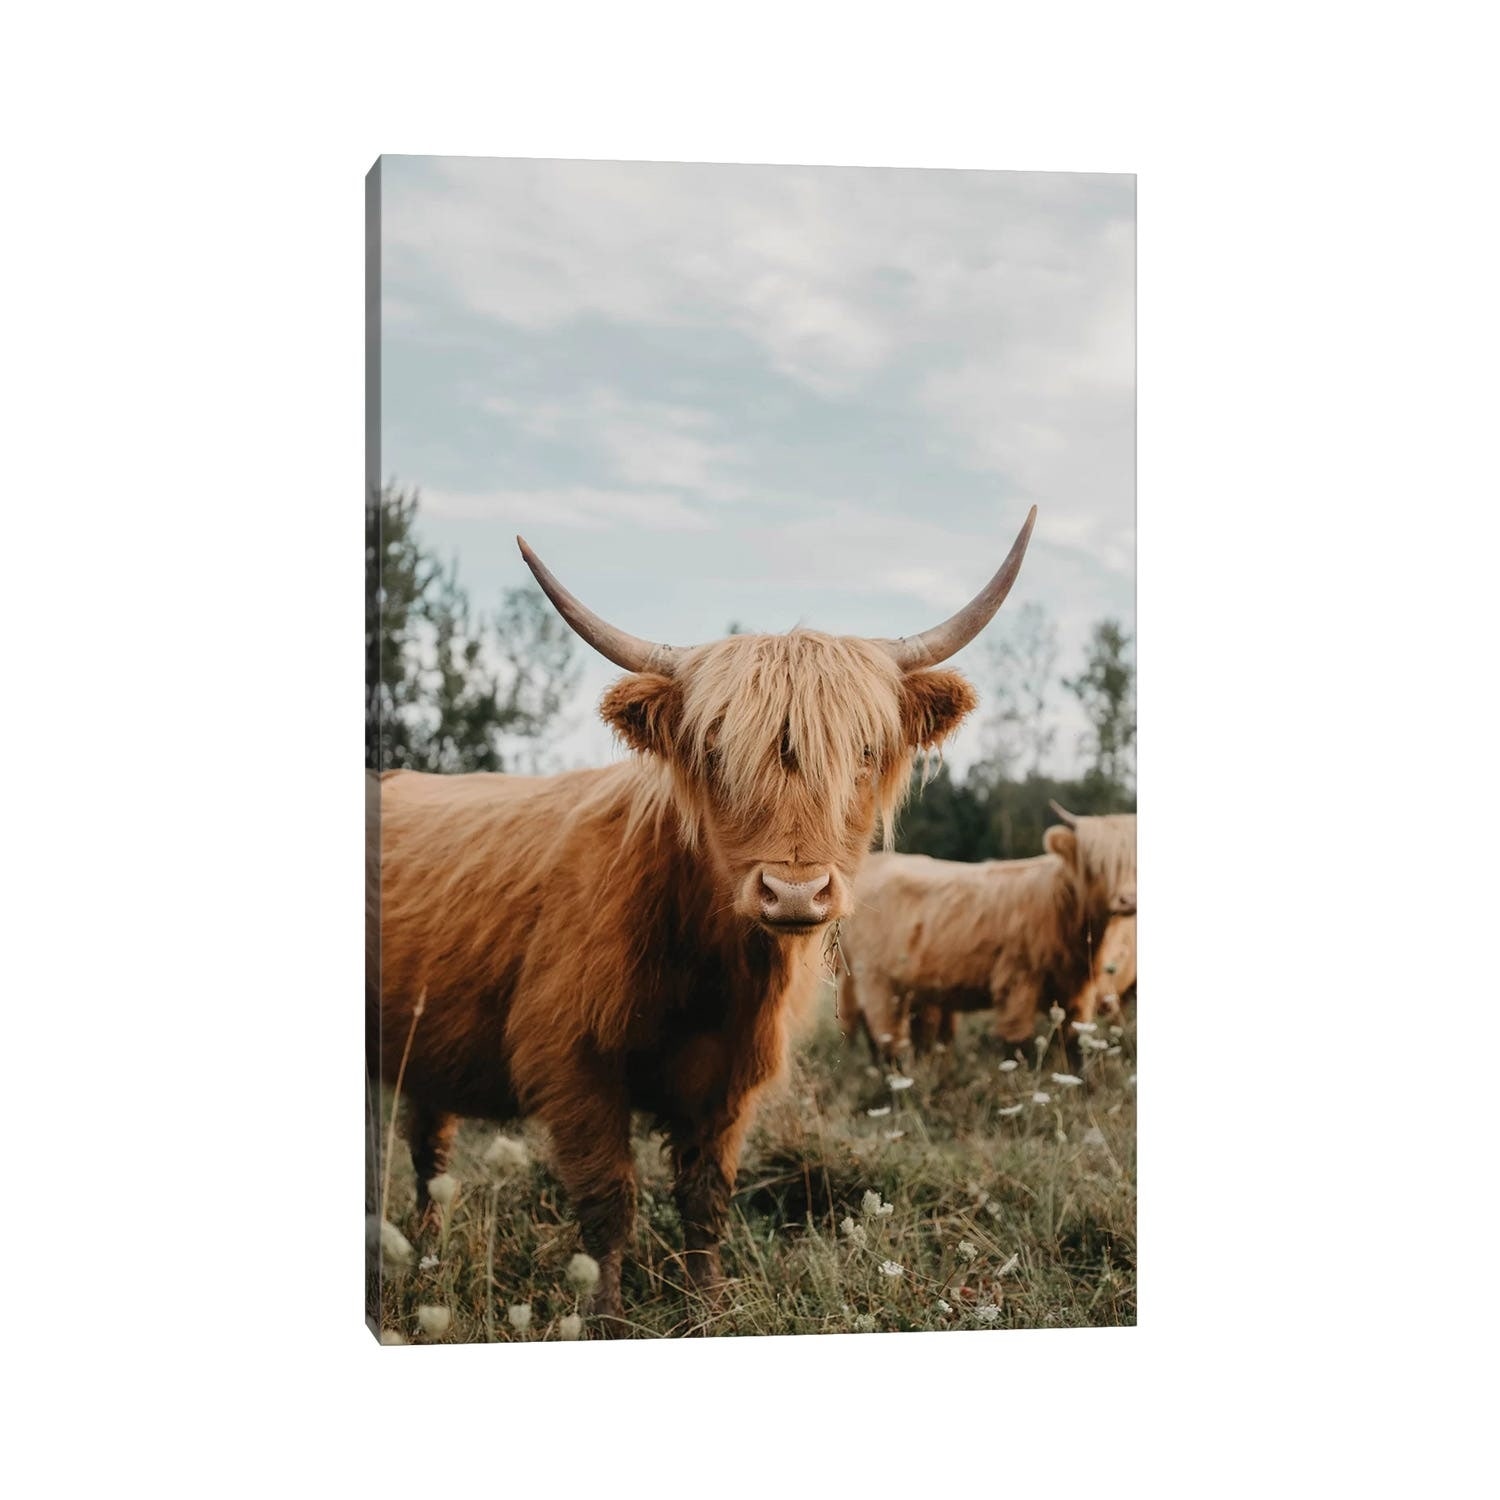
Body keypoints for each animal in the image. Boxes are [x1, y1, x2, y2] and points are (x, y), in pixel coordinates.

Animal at [369, 510, 1036, 1330]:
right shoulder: (573, 1063)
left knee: (428, 1148)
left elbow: (705, 1200)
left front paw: (707, 1308)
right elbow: (608, 1203)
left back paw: (426, 1256)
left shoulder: (729, 1081)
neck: (708, 967)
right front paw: (606, 1319)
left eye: (864, 749)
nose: (794, 893)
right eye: (716, 751)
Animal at [835, 806, 1136, 1067]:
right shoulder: (1016, 981)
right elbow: (1018, 1045)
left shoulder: (1078, 990)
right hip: (875, 980)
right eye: (1096, 863)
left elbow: (1076, 1045)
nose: (1128, 899)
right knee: (886, 1039)